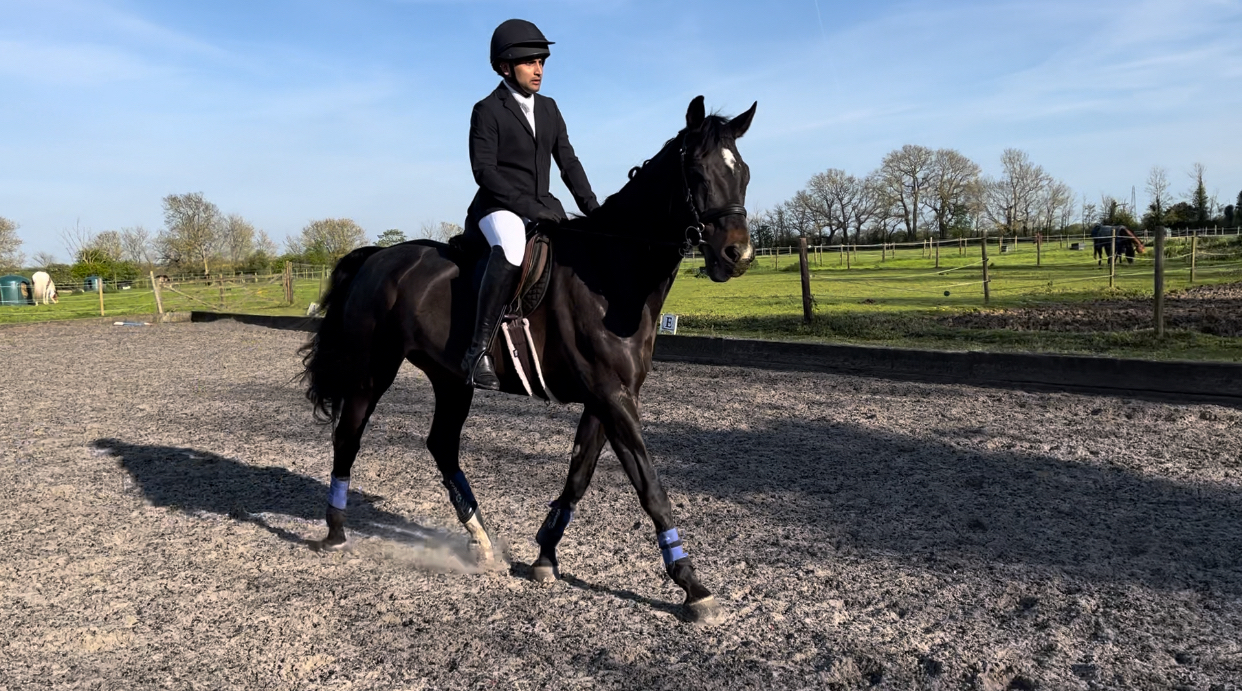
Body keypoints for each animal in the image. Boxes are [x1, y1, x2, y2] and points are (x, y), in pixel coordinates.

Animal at [300, 96, 756, 623]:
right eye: (697, 172)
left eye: (744, 172)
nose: (738, 254)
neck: (611, 274)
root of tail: (377, 258)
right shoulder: (612, 397)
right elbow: (650, 487)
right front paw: (691, 585)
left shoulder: (607, 398)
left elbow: (578, 476)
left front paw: (544, 556)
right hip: (372, 372)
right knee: (348, 438)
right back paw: (336, 532)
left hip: (451, 379)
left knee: (441, 445)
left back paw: (482, 543)